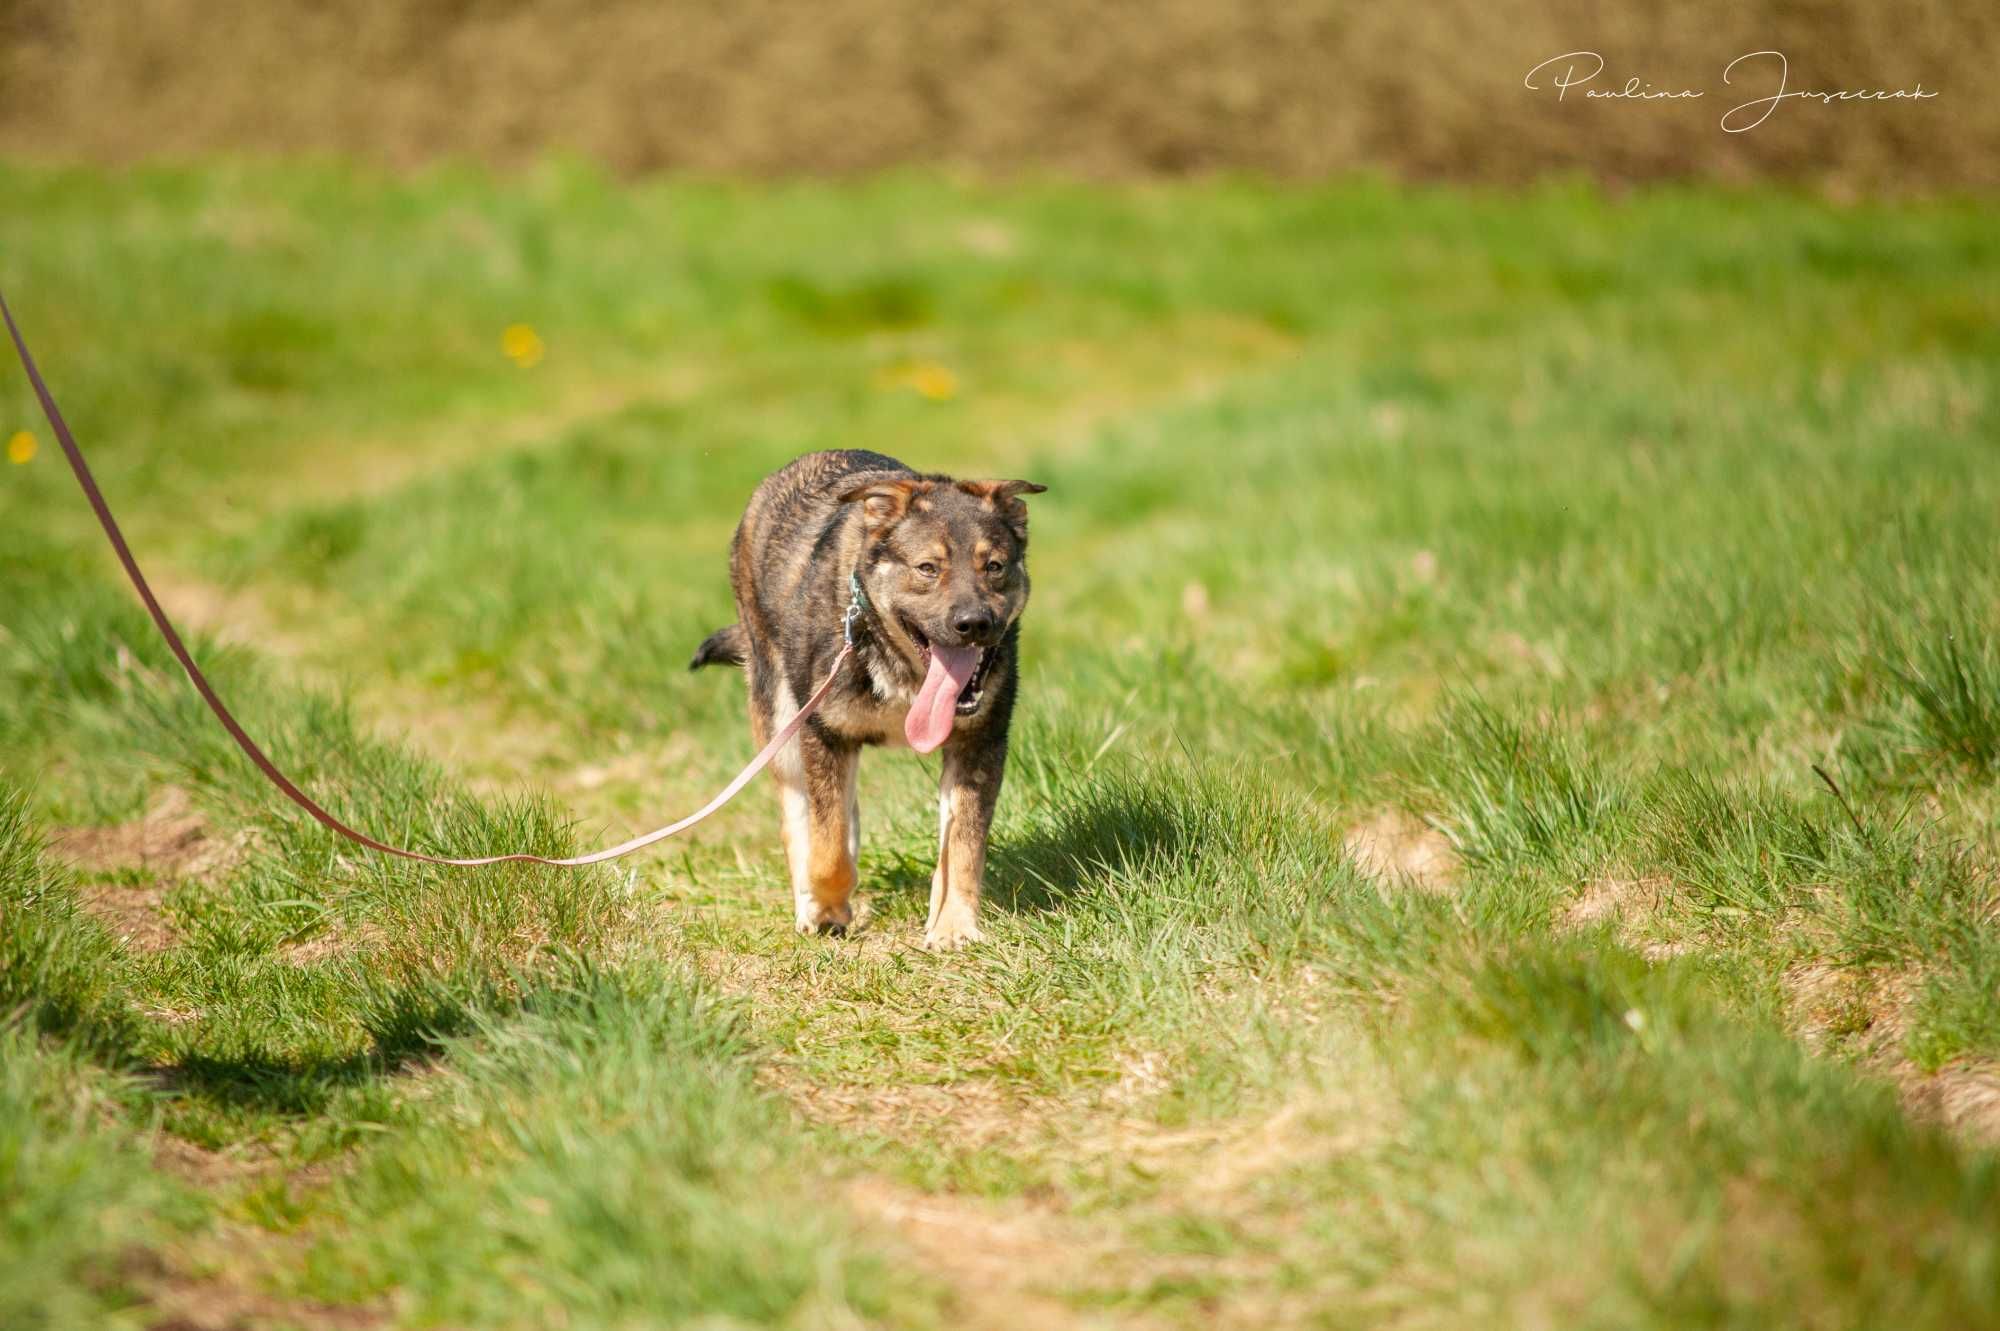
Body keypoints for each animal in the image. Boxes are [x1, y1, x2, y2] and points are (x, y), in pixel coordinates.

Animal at [692, 451, 1048, 947]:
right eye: (927, 568)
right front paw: (825, 907)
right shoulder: (822, 733)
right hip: (779, 720)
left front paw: (953, 927)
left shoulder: (979, 742)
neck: (904, 676)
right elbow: (827, 851)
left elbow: (962, 846)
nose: (974, 623)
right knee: (799, 818)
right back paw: (809, 903)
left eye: (993, 566)